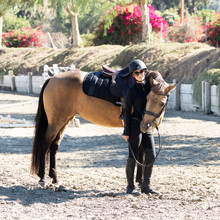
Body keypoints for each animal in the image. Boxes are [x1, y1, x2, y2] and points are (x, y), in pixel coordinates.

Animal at [30, 66, 177, 186]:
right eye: (148, 98)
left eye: (162, 102)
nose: (145, 123)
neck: (140, 86)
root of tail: (52, 79)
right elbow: (140, 154)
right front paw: (140, 181)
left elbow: (142, 155)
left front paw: (140, 181)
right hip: (55, 123)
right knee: (45, 145)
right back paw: (42, 178)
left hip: (64, 121)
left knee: (54, 147)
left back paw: (55, 178)